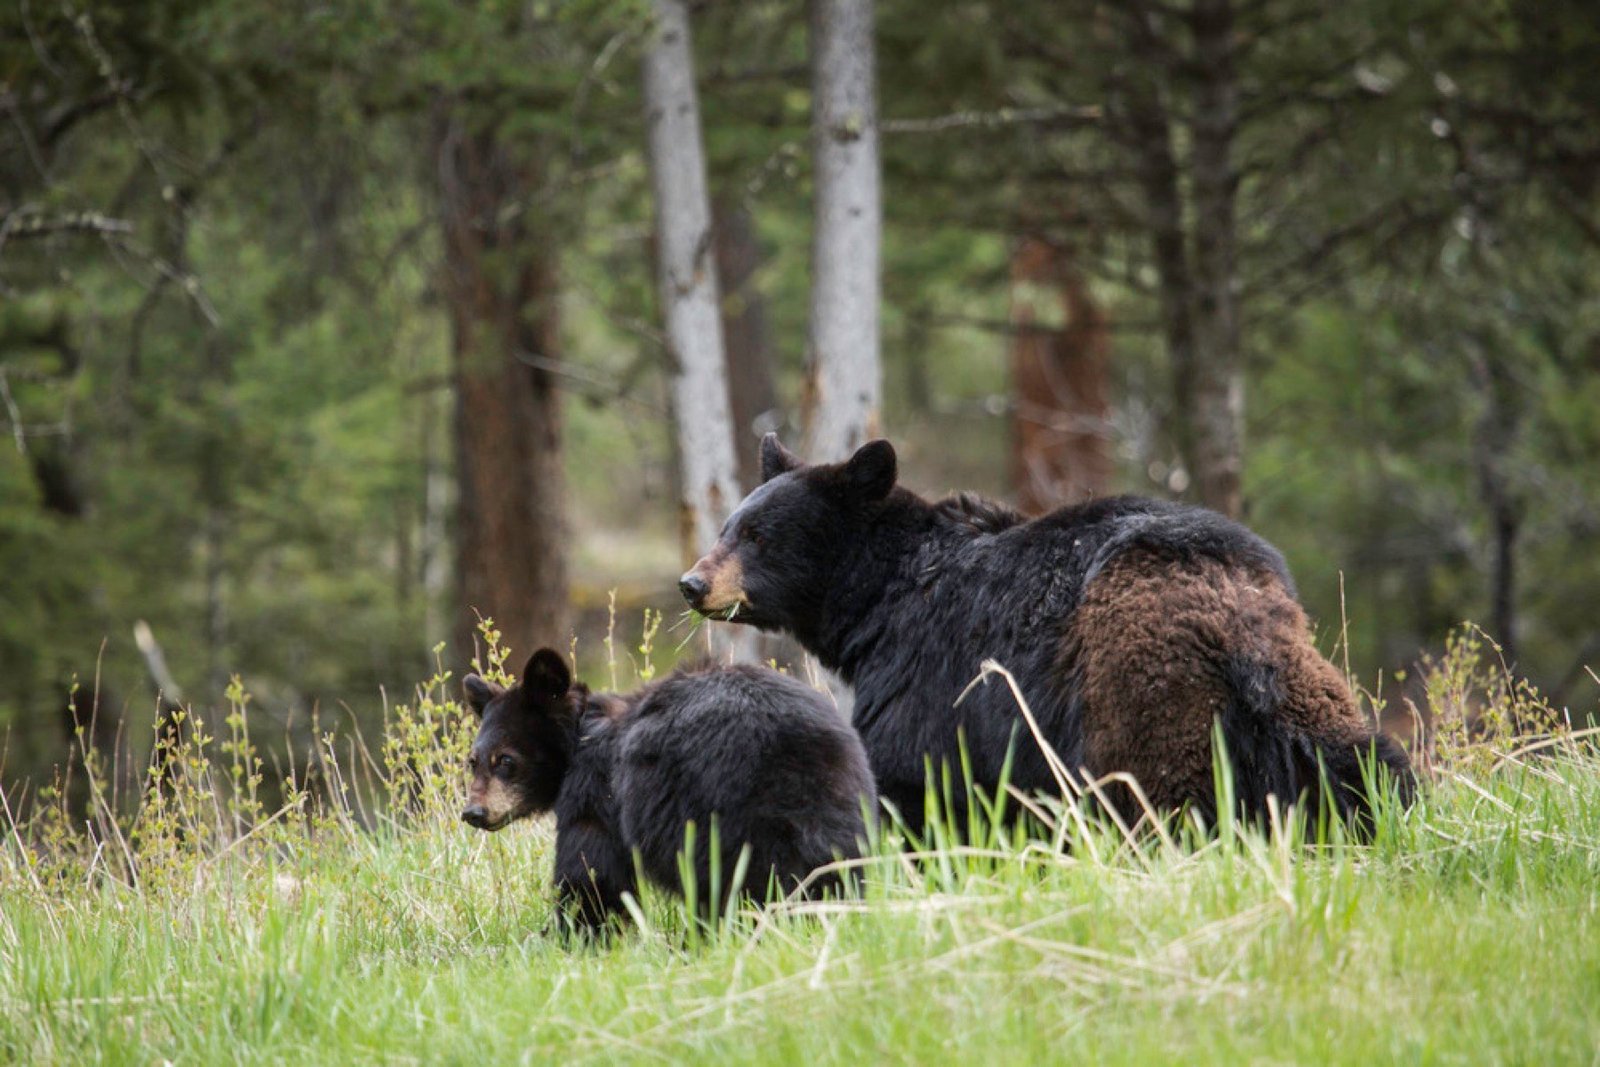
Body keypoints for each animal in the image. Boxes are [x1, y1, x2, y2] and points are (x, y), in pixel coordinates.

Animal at [461, 648, 876, 934]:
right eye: (473, 760)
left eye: (505, 760)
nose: (473, 812)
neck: (581, 736)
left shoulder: (597, 791)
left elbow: (592, 872)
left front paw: (570, 935)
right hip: (843, 802)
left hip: (716, 811)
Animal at [678, 434, 1416, 835]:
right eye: (728, 526)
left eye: (758, 535)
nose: (692, 583)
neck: (881, 599)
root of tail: (1234, 617)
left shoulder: (929, 672)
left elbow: (911, 777)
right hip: (1302, 690)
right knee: (1360, 761)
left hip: (1141, 692)